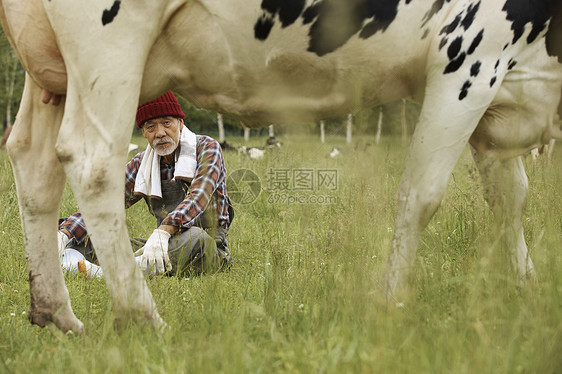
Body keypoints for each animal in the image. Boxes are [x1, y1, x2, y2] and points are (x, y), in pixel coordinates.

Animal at [0, 0, 556, 334]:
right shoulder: (472, 56)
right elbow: (422, 194)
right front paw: (390, 303)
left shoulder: (501, 104)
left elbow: (510, 198)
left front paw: (527, 288)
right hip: (108, 44)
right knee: (90, 159)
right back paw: (142, 317)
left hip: (50, 68)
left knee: (31, 160)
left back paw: (57, 312)